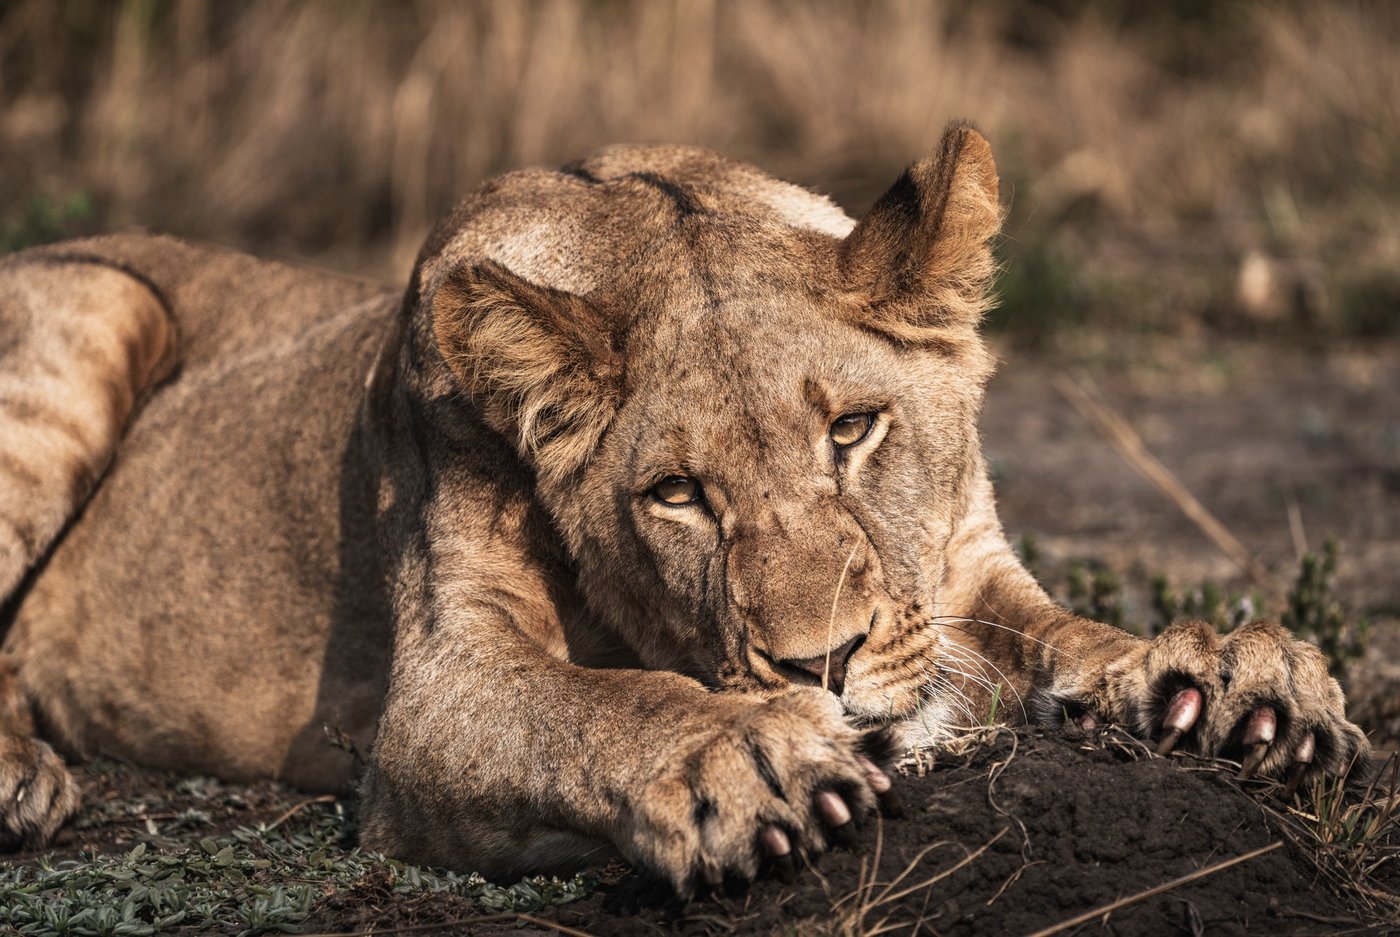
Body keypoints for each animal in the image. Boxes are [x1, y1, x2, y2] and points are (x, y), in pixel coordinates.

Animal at [0, 123, 1367, 894]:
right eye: (676, 495)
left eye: (851, 430)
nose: (818, 666)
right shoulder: (429, 697)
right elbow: (592, 701)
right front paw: (740, 750)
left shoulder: (965, 564)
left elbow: (1072, 633)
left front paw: (1223, 676)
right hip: (96, 310)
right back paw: (24, 780)